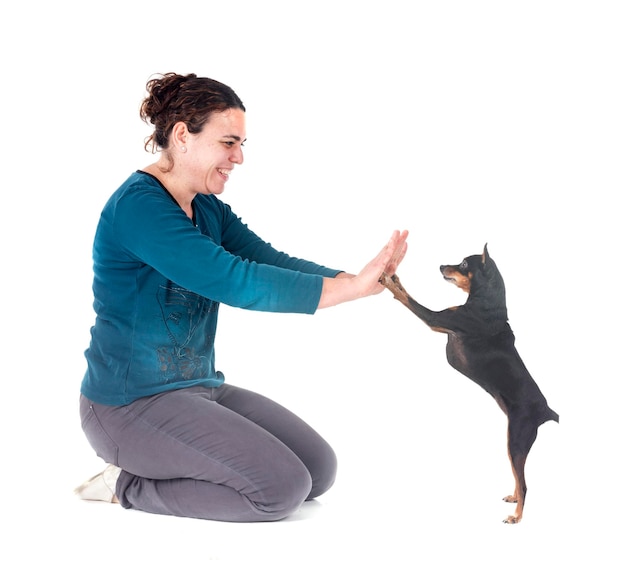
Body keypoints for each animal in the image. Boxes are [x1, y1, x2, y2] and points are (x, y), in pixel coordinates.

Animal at [378, 242, 560, 520]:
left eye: (464, 264)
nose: (441, 265)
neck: (486, 304)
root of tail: (545, 410)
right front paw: (394, 276)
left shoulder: (435, 319)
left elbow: (407, 298)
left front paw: (389, 280)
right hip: (512, 442)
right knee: (517, 477)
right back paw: (513, 498)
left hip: (517, 439)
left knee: (525, 483)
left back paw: (516, 517)